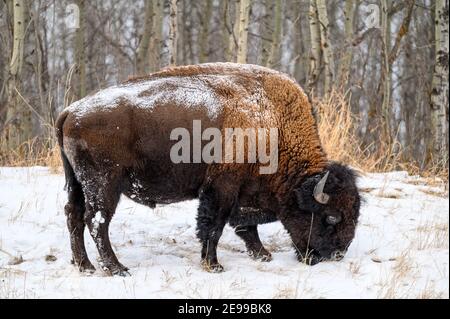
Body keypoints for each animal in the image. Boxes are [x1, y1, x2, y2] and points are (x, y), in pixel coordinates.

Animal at [56, 63, 360, 278]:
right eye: (331, 217)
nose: (337, 254)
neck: (273, 127)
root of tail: (72, 110)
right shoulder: (221, 189)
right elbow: (214, 226)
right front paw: (214, 265)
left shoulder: (241, 193)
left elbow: (244, 227)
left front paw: (262, 254)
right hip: (105, 184)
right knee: (97, 221)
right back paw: (117, 268)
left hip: (78, 184)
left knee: (74, 216)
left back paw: (85, 266)